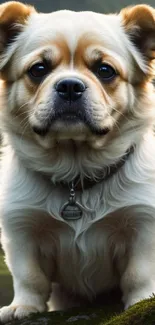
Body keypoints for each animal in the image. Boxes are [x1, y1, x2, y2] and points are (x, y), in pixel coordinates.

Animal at [0, 1, 155, 322]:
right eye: (39, 69)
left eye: (105, 70)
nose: (70, 85)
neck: (76, 171)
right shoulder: (20, 229)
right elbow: (29, 277)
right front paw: (23, 307)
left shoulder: (143, 224)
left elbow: (138, 274)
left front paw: (142, 299)